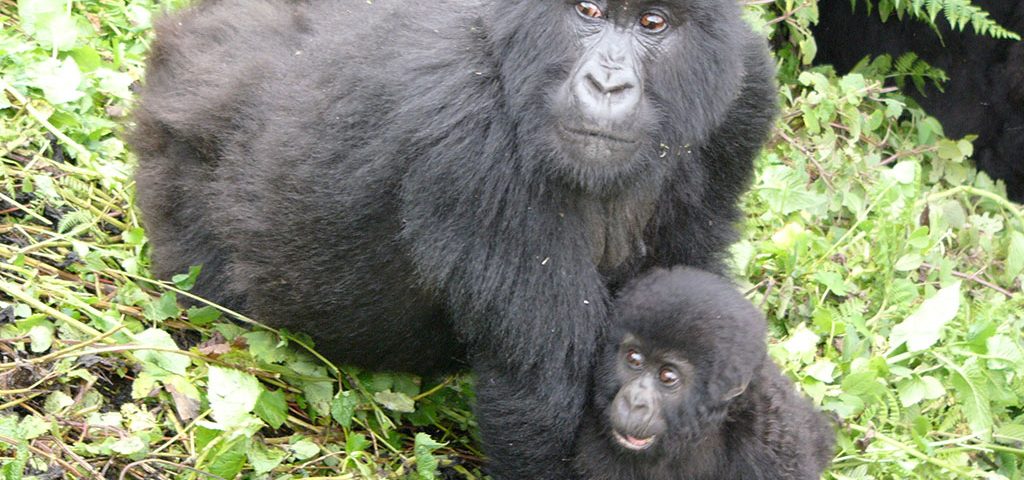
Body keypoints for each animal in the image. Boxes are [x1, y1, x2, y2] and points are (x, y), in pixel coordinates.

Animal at [130, 0, 774, 474]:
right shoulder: (471, 128)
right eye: (588, 10)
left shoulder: (743, 93)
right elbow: (541, 403)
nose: (607, 83)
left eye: (652, 23)